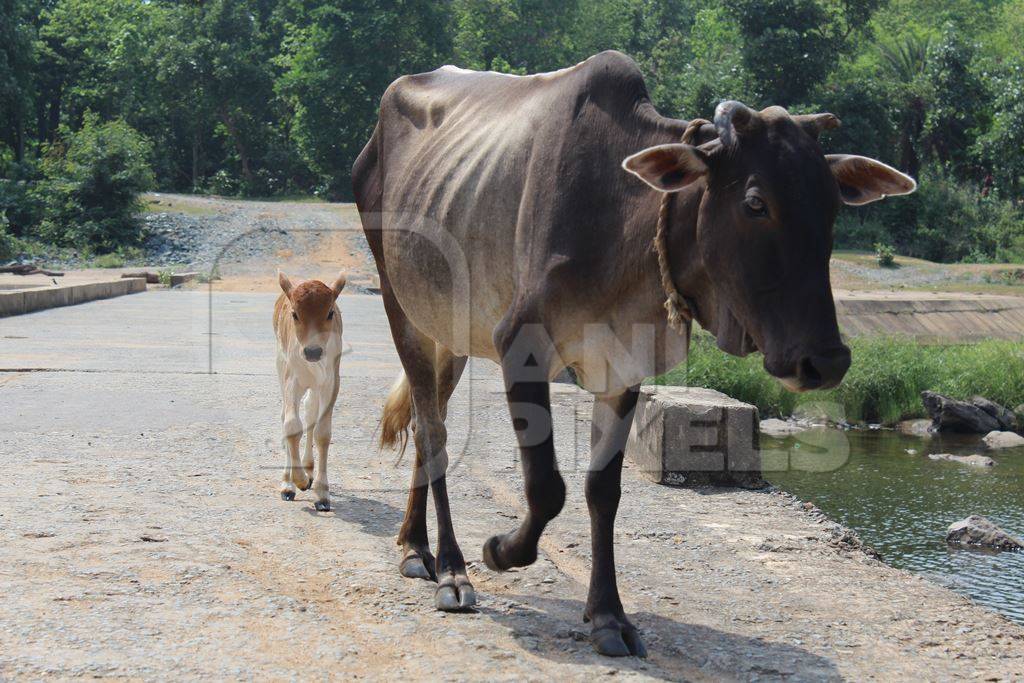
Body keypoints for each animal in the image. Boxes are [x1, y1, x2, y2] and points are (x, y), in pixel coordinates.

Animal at [274, 270, 346, 509]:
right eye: (295, 314)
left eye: (330, 312)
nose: (313, 351)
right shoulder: (291, 379)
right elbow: (291, 425)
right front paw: (296, 482)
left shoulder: (331, 382)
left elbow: (322, 433)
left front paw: (322, 494)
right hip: (281, 366)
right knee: (288, 416)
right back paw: (290, 481)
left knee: (311, 412)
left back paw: (309, 469)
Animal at [350, 50, 913, 659]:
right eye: (755, 203)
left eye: (833, 206)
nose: (826, 360)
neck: (623, 222)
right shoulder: (519, 342)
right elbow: (547, 488)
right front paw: (499, 550)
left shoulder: (621, 368)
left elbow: (603, 491)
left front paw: (608, 615)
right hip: (400, 305)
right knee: (432, 429)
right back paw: (450, 567)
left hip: (448, 329)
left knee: (429, 420)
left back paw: (415, 543)